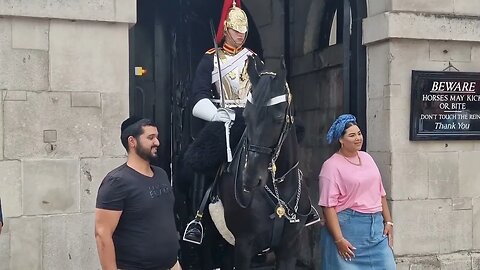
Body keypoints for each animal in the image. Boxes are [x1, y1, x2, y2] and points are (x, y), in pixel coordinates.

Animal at [218, 58, 312, 268]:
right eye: (246, 115)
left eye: (277, 117)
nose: (250, 180)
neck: (279, 186)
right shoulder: (243, 247)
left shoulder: (289, 249)